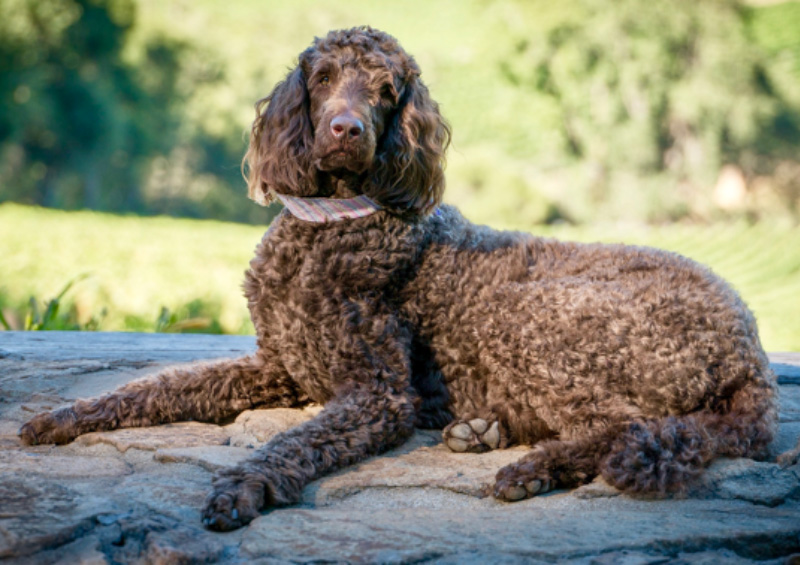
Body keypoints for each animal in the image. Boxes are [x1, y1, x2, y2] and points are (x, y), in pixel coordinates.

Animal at [20, 26, 780, 528]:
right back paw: (486, 433)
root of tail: (751, 347)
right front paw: (66, 417)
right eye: (322, 79)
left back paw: (527, 467)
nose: (346, 129)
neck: (329, 226)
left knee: (628, 425)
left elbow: (293, 441)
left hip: (537, 320)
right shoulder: (277, 367)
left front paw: (243, 486)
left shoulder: (376, 394)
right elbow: (156, 388)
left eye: (386, 91)